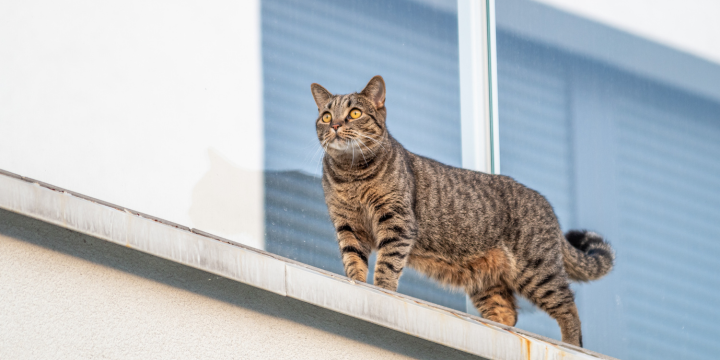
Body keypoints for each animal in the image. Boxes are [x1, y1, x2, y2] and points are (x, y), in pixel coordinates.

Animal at [310, 75, 612, 346]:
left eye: (355, 113)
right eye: (326, 116)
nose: (335, 124)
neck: (351, 175)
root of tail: (547, 205)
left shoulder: (397, 221)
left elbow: (387, 265)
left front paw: (380, 293)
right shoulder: (347, 225)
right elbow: (353, 261)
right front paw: (356, 286)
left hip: (537, 271)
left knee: (568, 307)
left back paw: (571, 344)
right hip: (486, 283)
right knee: (507, 314)